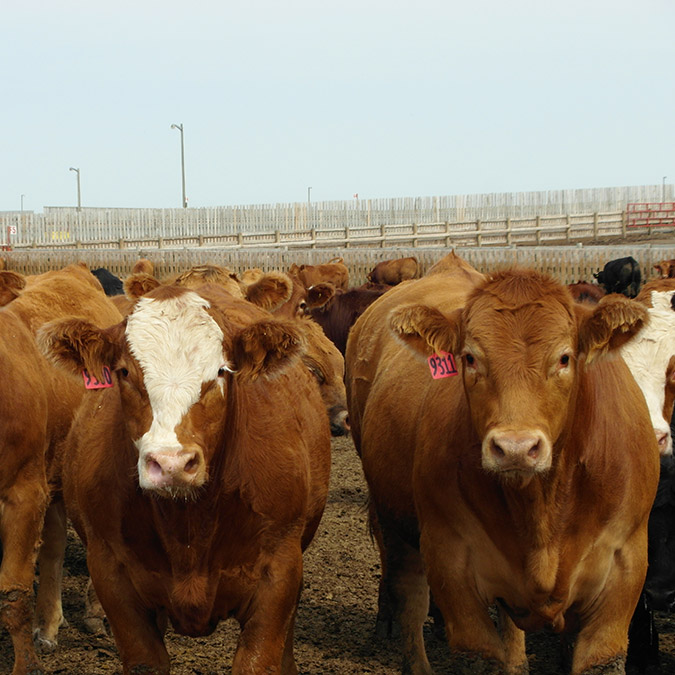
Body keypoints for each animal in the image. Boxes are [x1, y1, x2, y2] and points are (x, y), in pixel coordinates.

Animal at [37, 282, 332, 672]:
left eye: (222, 370)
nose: (172, 463)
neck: (190, 522)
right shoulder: (112, 575)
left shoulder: (279, 573)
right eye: (124, 372)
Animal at [348, 255, 660, 675]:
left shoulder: (623, 568)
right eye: (469, 358)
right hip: (394, 520)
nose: (515, 448)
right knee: (409, 601)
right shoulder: (451, 559)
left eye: (564, 357)